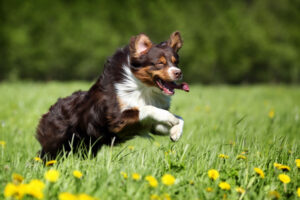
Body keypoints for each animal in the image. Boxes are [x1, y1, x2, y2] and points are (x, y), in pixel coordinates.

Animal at [36, 31, 189, 159]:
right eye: (159, 63)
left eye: (176, 62)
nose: (178, 72)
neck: (143, 88)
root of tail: (50, 109)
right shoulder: (117, 118)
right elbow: (146, 108)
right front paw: (171, 119)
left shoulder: (148, 125)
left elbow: (179, 118)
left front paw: (175, 132)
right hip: (56, 145)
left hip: (86, 146)